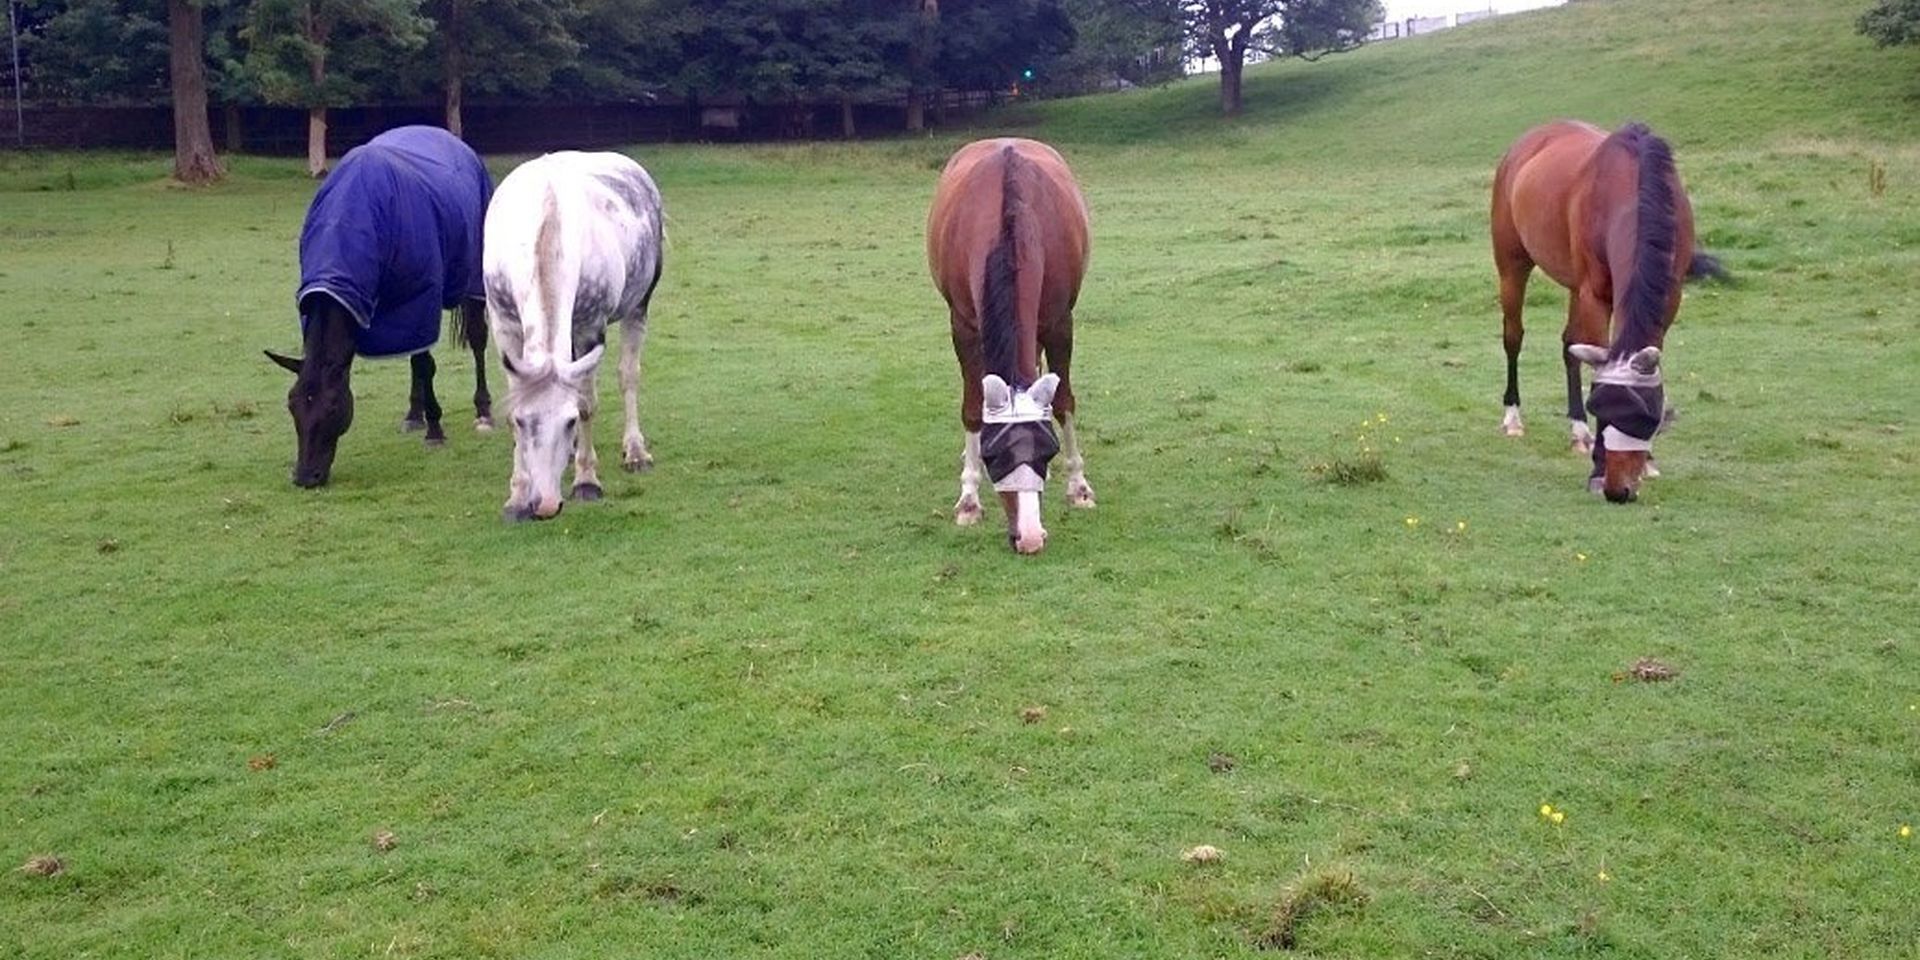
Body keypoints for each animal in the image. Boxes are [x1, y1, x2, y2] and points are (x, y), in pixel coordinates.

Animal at [264, 125, 495, 487]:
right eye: (292, 405)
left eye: (332, 408)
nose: (304, 477)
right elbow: (418, 360)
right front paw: (421, 418)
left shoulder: (420, 296)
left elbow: (426, 364)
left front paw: (435, 431)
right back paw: (413, 414)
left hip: (472, 276)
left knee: (477, 339)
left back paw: (483, 412)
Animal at [929, 138, 1098, 552]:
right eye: (994, 456)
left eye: (1047, 450)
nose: (1030, 537)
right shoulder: (963, 326)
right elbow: (973, 408)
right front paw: (969, 499)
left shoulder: (1059, 323)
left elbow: (1063, 401)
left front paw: (1078, 486)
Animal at [1482, 121, 1697, 503]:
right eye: (1600, 408)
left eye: (1645, 418)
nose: (1617, 490)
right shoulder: (1594, 296)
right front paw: (1597, 467)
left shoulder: (1669, 298)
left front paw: (1648, 461)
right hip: (1512, 265)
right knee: (1513, 337)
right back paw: (1513, 417)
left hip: (1572, 285)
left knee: (1570, 346)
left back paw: (1576, 430)